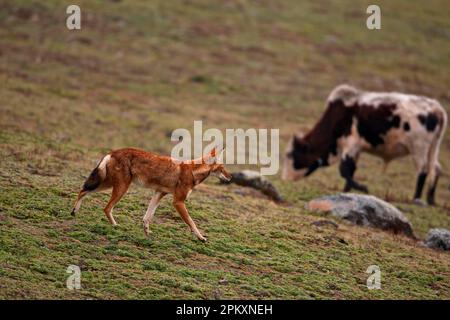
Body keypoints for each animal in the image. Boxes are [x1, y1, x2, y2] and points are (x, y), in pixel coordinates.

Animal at [72, 147, 232, 240]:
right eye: (223, 167)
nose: (230, 177)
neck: (193, 171)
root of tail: (112, 152)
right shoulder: (178, 202)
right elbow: (191, 222)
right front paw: (201, 237)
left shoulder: (159, 193)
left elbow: (148, 216)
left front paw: (147, 232)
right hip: (120, 188)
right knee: (105, 207)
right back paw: (115, 226)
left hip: (108, 184)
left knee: (82, 190)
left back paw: (74, 212)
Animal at [284, 85, 448, 205]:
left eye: (292, 155)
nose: (285, 178)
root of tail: (437, 109)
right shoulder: (355, 149)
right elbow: (351, 170)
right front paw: (347, 190)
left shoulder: (351, 143)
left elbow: (344, 169)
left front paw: (362, 187)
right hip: (433, 148)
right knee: (436, 169)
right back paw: (431, 200)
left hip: (419, 148)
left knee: (423, 170)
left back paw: (416, 198)